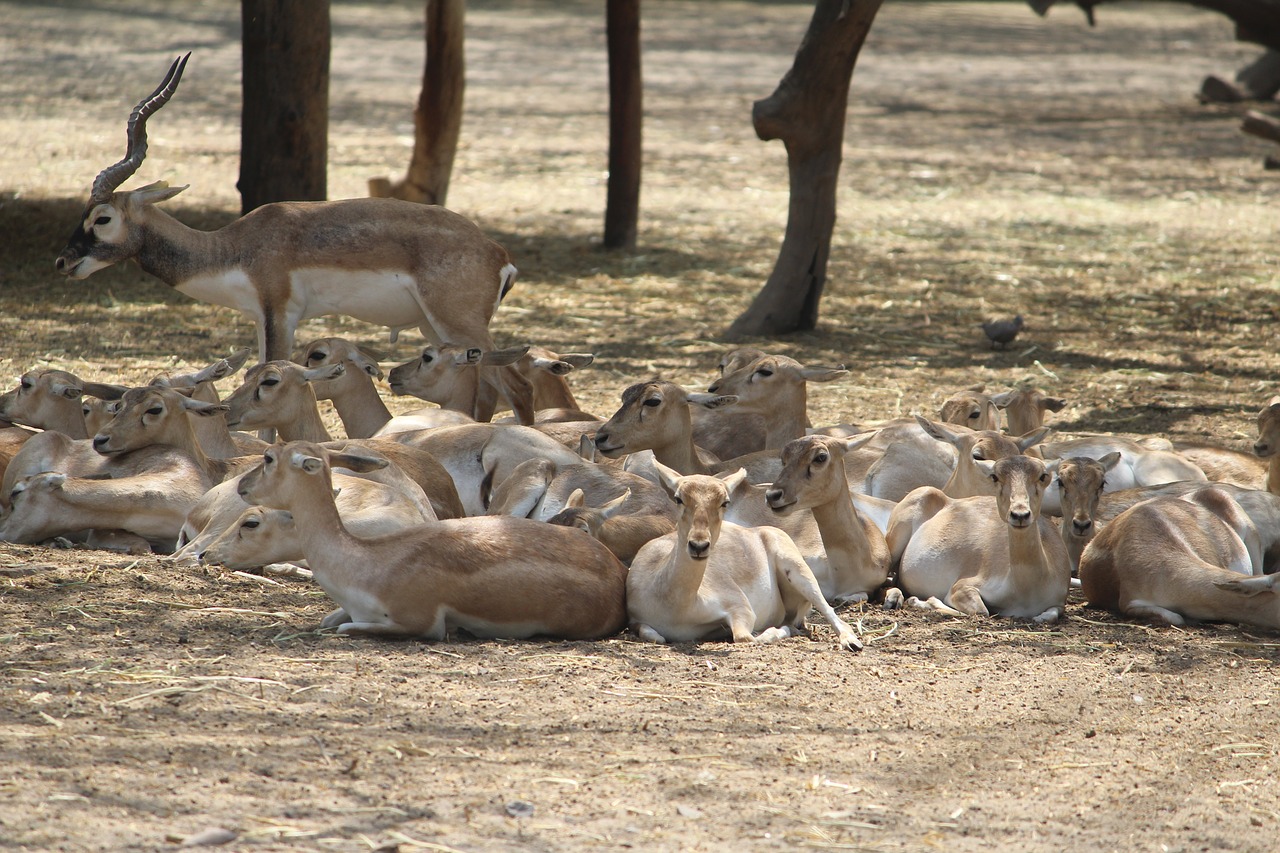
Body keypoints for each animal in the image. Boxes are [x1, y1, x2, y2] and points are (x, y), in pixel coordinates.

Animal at [55, 54, 532, 422]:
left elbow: (272, 371)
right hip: (435, 328)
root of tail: (498, 254)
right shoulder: (258, 318)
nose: (63, 262)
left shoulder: (281, 314)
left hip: (460, 324)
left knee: (517, 384)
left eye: (102, 218)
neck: (234, 248)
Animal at [236, 440, 629, 635]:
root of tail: (616, 574)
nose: (241, 486)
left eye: (268, 458)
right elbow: (330, 620)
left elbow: (346, 627)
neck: (366, 564)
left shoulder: (420, 622)